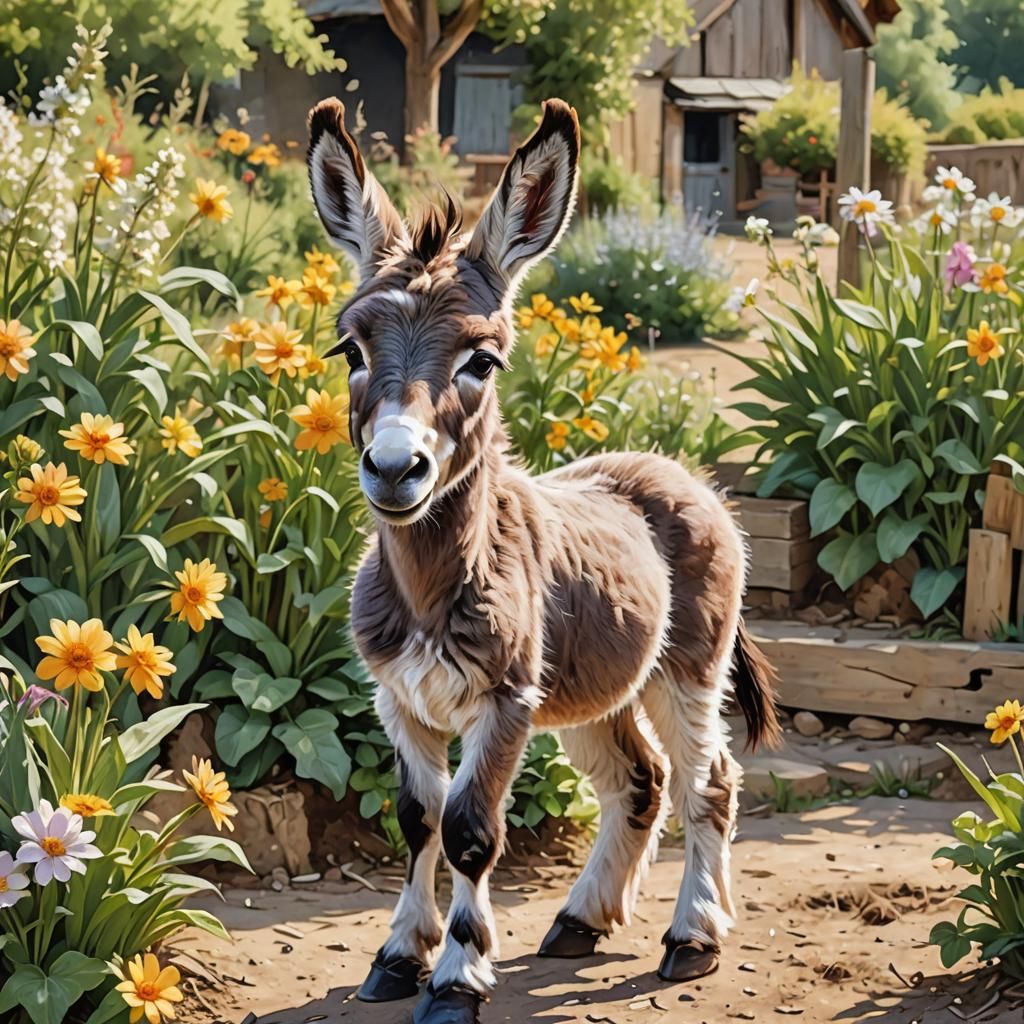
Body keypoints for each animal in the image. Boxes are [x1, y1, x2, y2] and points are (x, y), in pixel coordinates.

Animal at [305, 95, 780, 1024]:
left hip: (687, 670)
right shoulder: (400, 698)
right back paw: (580, 921)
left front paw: (456, 980)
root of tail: (677, 470)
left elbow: (470, 832)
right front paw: (398, 958)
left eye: (481, 360)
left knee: (708, 781)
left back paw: (693, 937)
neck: (433, 583)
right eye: (351, 351)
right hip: (595, 688)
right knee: (640, 780)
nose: (395, 468)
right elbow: (417, 819)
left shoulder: (505, 702)